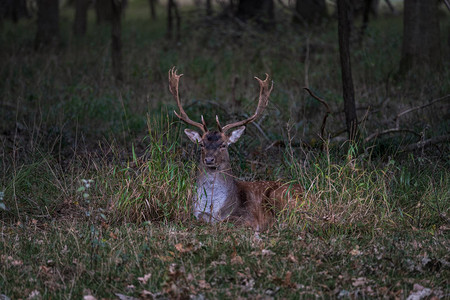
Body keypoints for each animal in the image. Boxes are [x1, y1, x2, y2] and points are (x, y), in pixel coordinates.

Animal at [169, 67, 302, 230]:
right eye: (201, 144)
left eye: (223, 145)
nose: (209, 159)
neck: (215, 208)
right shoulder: (195, 213)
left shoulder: (248, 217)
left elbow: (225, 222)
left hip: (280, 196)